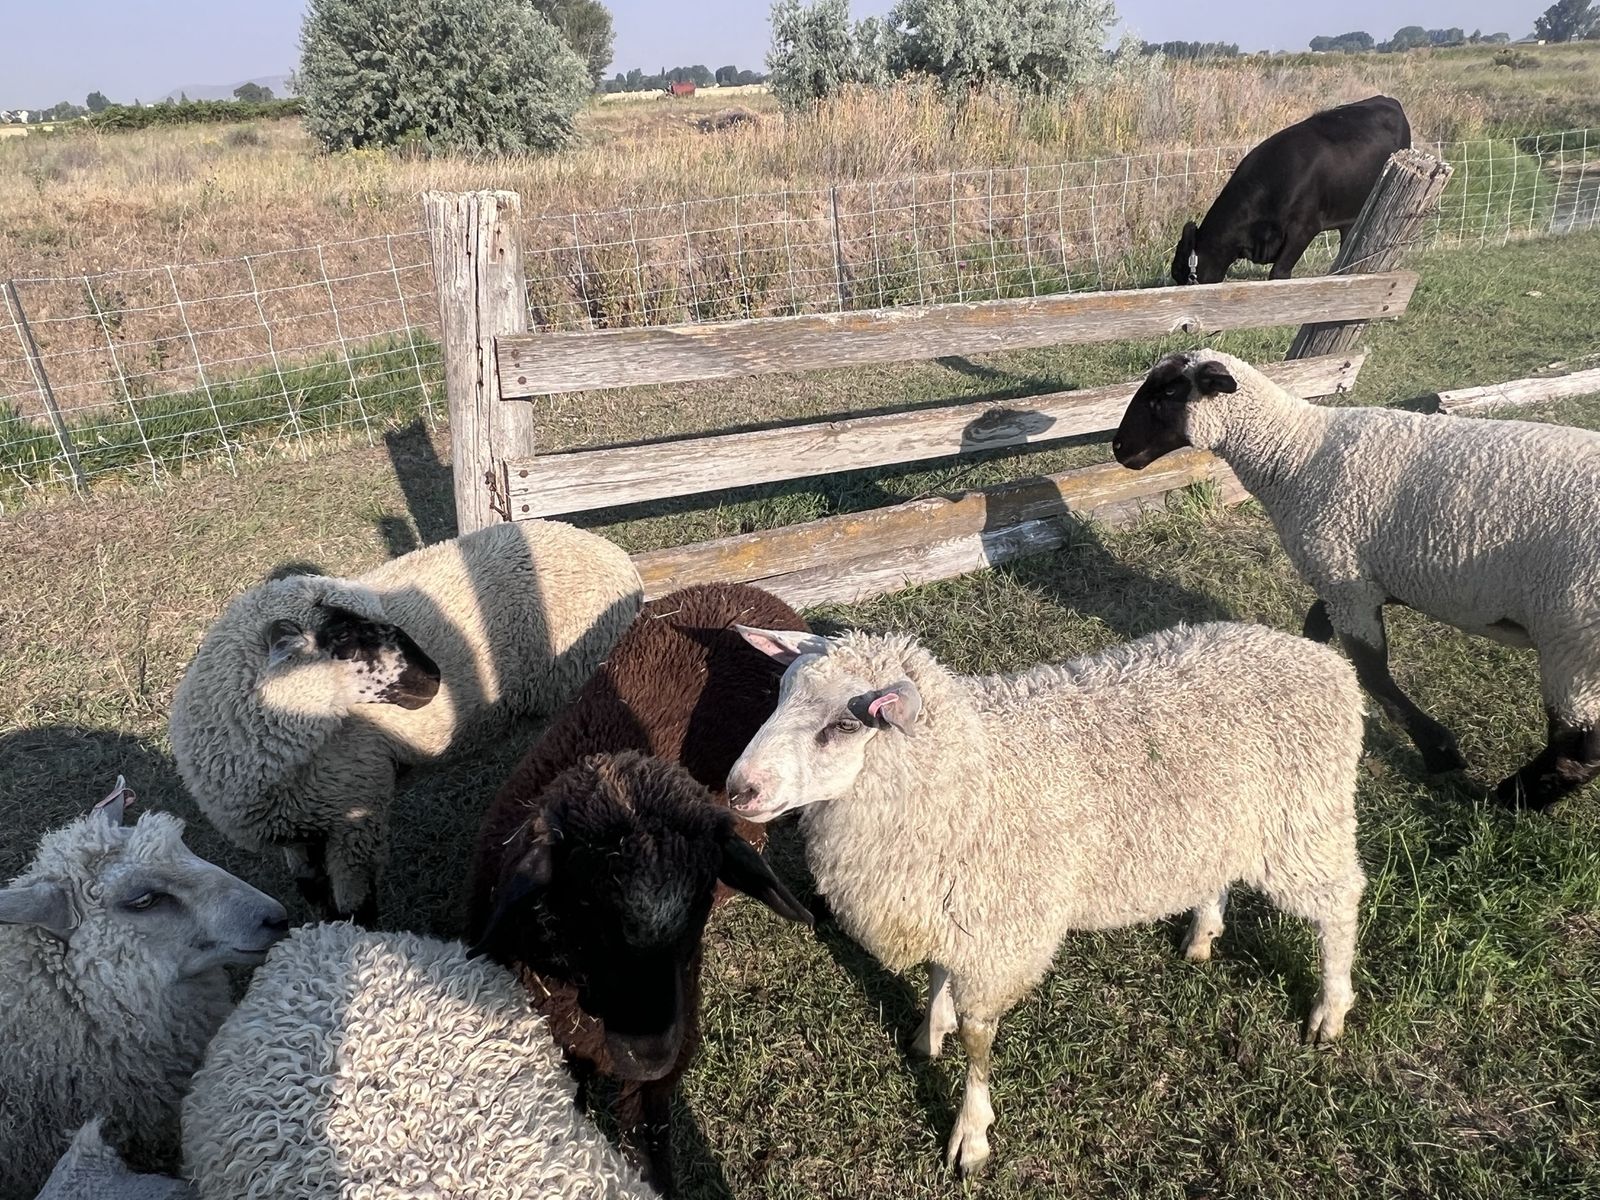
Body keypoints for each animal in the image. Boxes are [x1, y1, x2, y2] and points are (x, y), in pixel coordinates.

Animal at [169, 519, 643, 924]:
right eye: (343, 636)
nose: (434, 677)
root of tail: (617, 557)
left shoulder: (354, 821)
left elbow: (356, 913)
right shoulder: (300, 832)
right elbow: (315, 898)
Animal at [726, 621, 1367, 1176]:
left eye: (845, 725)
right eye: (780, 694)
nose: (738, 790)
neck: (967, 778)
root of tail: (1324, 662)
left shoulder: (998, 934)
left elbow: (978, 1041)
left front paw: (971, 1135)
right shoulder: (951, 905)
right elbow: (937, 975)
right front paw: (929, 1031)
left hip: (1303, 822)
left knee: (1341, 902)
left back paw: (1330, 1009)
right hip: (1226, 827)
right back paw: (1202, 936)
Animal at [1112, 348, 1600, 810]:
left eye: (1167, 393)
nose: (1119, 449)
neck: (1294, 455)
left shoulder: (1345, 580)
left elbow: (1372, 671)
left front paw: (1439, 751)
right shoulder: (1362, 579)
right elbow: (1316, 627)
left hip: (1573, 637)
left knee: (1578, 746)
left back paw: (1515, 797)